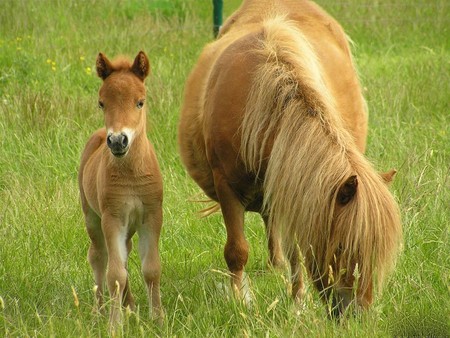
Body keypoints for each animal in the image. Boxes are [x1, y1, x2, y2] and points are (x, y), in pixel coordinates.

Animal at [178, 0, 402, 316]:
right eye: (342, 247)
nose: (358, 313)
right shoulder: (227, 187)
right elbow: (236, 251)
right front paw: (240, 301)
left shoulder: (297, 193)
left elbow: (296, 251)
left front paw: (297, 301)